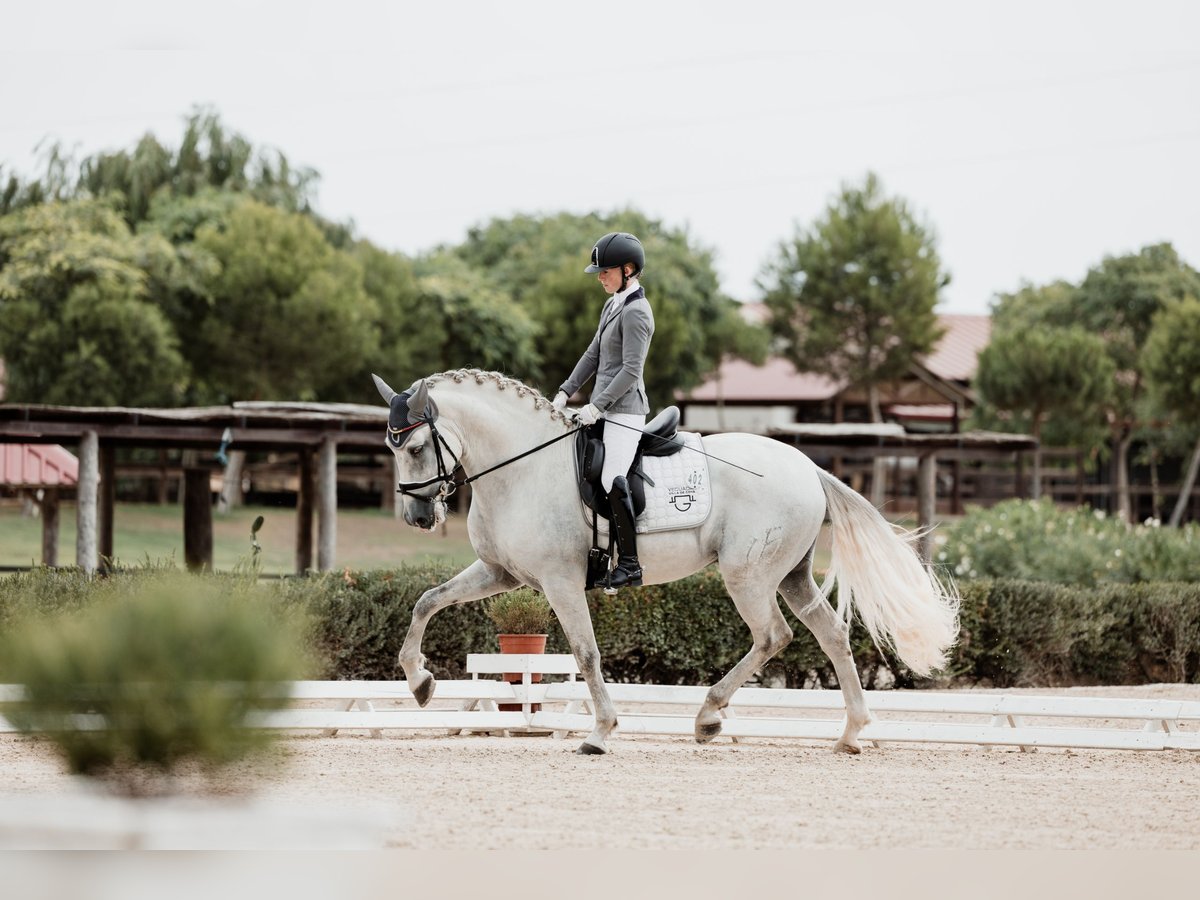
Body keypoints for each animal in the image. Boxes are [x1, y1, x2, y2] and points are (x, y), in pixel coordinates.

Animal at [369, 369, 960, 758]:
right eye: (392, 447)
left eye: (416, 447)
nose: (418, 517)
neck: (521, 469)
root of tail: (807, 466)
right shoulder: (500, 573)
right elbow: (426, 602)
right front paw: (420, 682)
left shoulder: (561, 581)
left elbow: (586, 653)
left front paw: (601, 732)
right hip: (791, 575)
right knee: (831, 633)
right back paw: (850, 733)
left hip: (747, 575)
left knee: (773, 636)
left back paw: (708, 717)